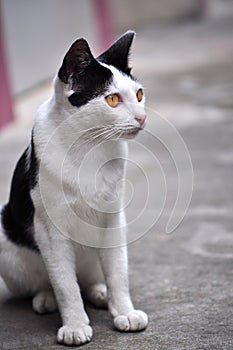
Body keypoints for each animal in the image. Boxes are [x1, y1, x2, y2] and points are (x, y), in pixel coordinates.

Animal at [0, 31, 147, 346]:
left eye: (139, 95)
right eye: (112, 99)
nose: (142, 118)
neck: (88, 147)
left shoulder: (114, 219)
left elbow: (118, 271)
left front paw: (124, 311)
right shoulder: (49, 230)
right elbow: (65, 285)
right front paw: (75, 325)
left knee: (88, 276)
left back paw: (99, 292)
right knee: (50, 280)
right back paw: (46, 299)